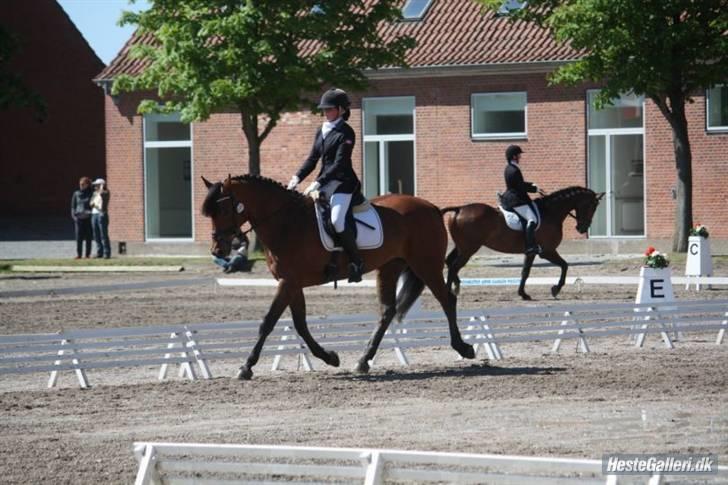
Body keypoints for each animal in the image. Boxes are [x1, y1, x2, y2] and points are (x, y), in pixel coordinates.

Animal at [202, 174, 474, 378]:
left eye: (223, 209)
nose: (218, 250)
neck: (285, 223)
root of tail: (433, 208)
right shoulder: (292, 283)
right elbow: (300, 324)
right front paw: (330, 357)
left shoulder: (288, 282)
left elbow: (267, 322)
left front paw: (246, 366)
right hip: (390, 267)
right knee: (387, 311)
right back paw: (363, 360)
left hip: (426, 265)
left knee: (447, 299)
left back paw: (463, 347)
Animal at [444, 187, 604, 300]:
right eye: (592, 206)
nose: (582, 228)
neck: (550, 213)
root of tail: (459, 209)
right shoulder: (547, 251)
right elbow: (564, 265)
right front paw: (555, 289)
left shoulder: (531, 252)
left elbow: (525, 272)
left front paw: (523, 294)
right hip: (469, 249)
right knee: (453, 267)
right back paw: (450, 293)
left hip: (462, 247)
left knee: (449, 262)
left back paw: (455, 287)